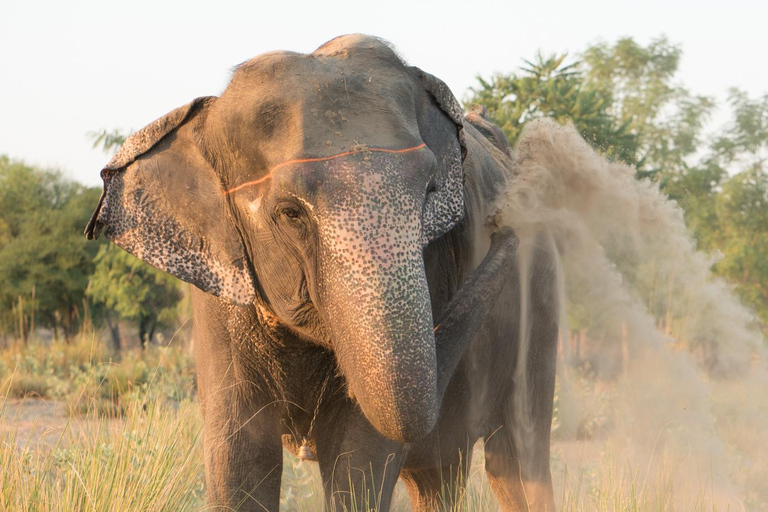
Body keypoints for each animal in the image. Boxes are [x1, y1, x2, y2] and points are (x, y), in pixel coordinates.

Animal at [85, 34, 560, 510]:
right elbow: (239, 455)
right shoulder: (220, 294)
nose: (503, 223)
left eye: (430, 191)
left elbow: (361, 456)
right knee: (440, 472)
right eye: (290, 213)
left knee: (515, 460)